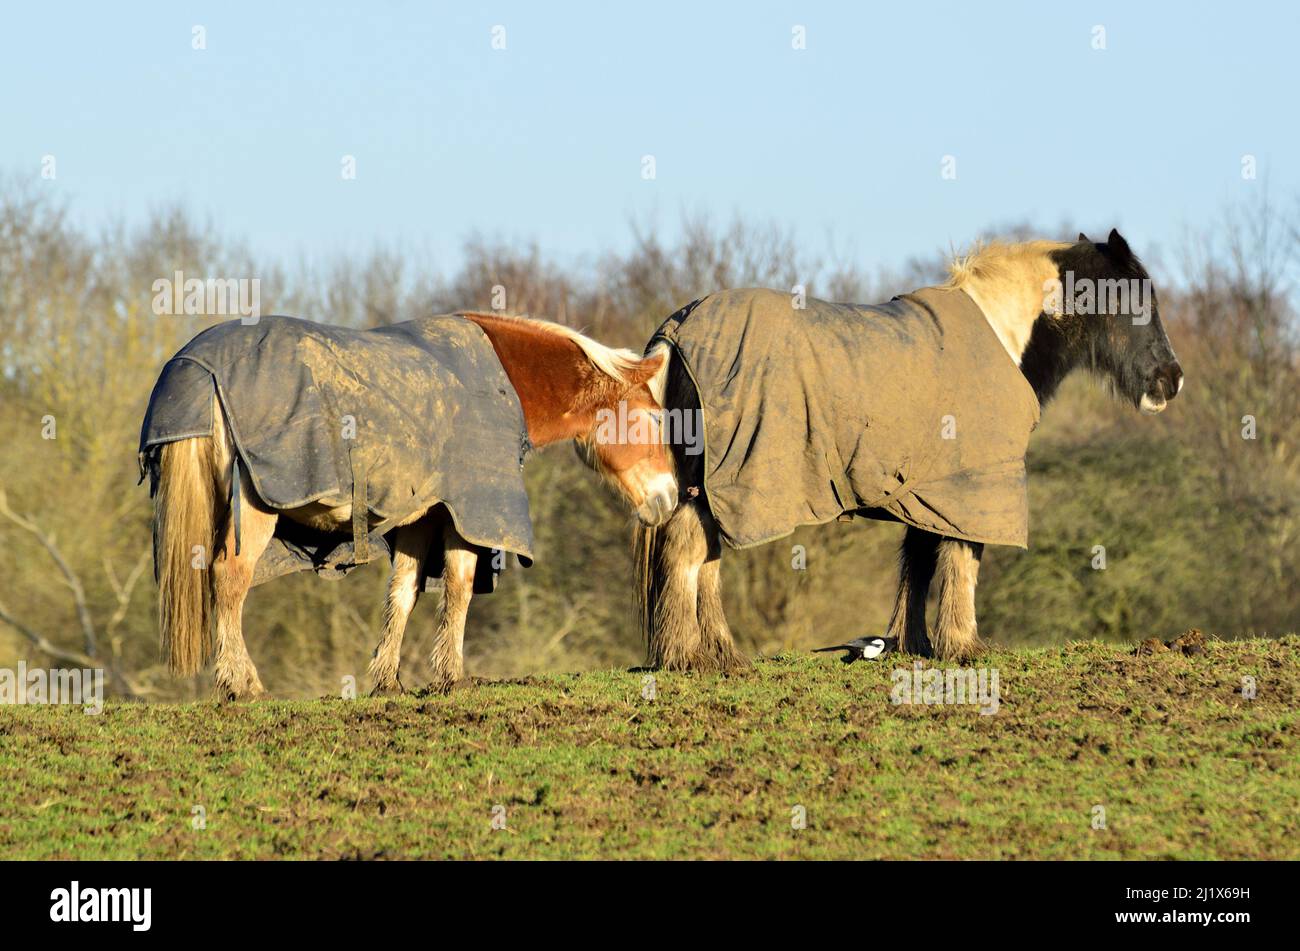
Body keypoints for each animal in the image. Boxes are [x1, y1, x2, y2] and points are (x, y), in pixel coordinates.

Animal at [154, 311, 670, 696]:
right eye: (651, 417)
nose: (667, 498)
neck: (503, 380)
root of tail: (196, 370)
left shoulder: (422, 516)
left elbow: (403, 591)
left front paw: (388, 679)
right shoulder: (468, 512)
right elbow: (459, 587)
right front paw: (451, 676)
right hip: (254, 509)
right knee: (229, 578)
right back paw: (242, 683)